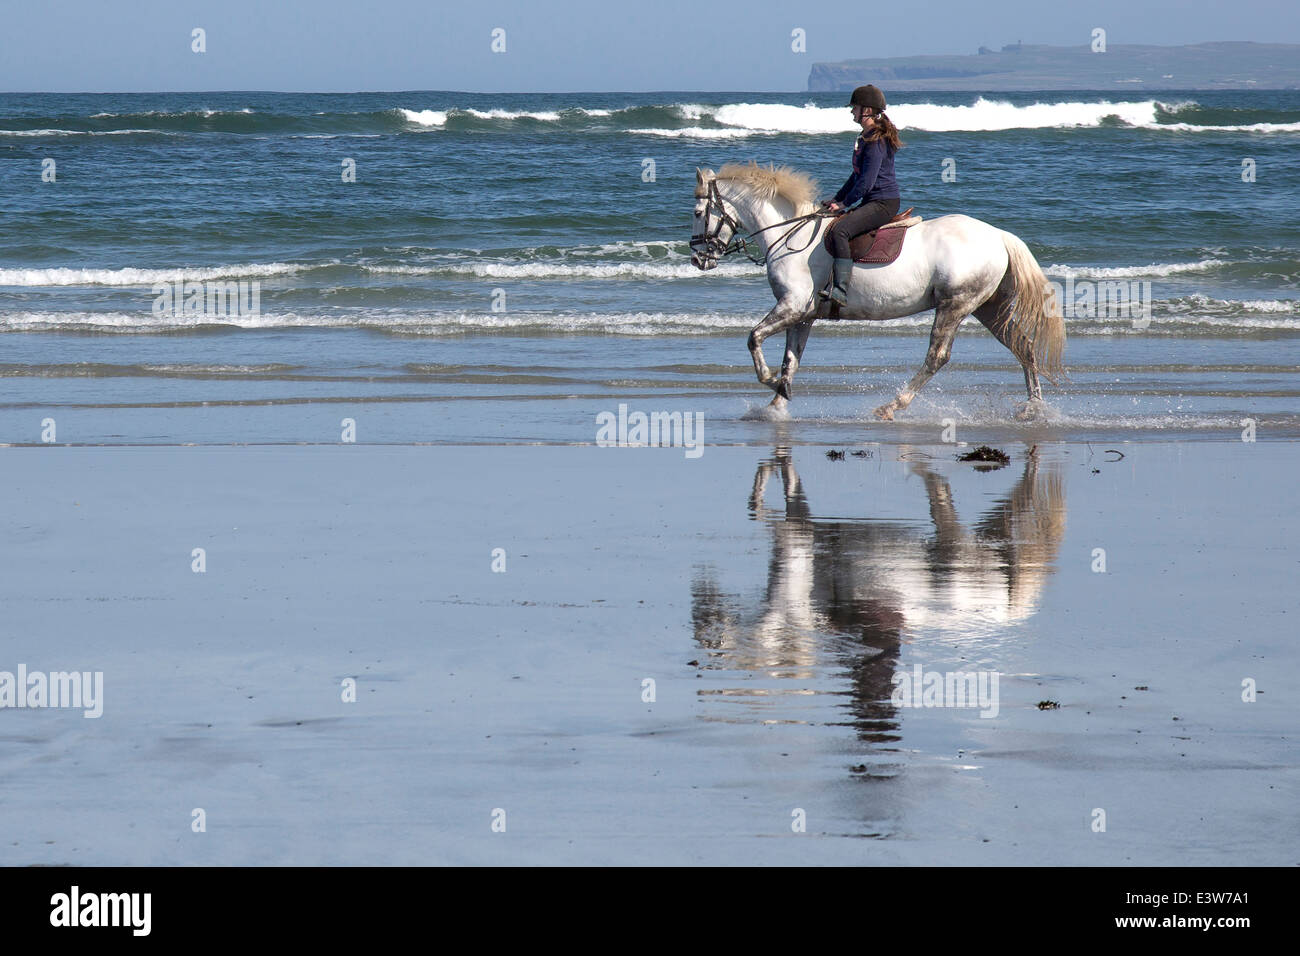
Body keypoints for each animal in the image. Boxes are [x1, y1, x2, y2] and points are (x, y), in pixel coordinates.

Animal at [691, 162, 1066, 421]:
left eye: (697, 212)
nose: (697, 258)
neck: (791, 238)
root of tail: (998, 235)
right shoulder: (803, 317)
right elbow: (791, 361)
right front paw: (776, 404)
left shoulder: (793, 306)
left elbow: (753, 338)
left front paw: (771, 383)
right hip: (988, 308)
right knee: (1022, 345)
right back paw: (1033, 408)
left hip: (955, 305)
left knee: (937, 357)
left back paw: (893, 405)